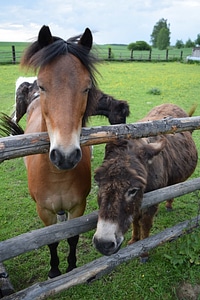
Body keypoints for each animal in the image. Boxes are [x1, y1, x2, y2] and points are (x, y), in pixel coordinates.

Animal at [5, 25, 99, 278]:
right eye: (44, 85)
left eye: (86, 88)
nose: (65, 156)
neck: (58, 176)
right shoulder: (44, 211)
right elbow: (51, 240)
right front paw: (55, 271)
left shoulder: (78, 206)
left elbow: (72, 237)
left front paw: (72, 266)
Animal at [93, 104, 198, 258]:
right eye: (98, 183)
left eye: (133, 190)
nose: (103, 244)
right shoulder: (137, 205)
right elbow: (135, 220)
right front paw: (134, 240)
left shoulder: (151, 202)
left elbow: (145, 223)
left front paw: (144, 252)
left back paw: (169, 204)